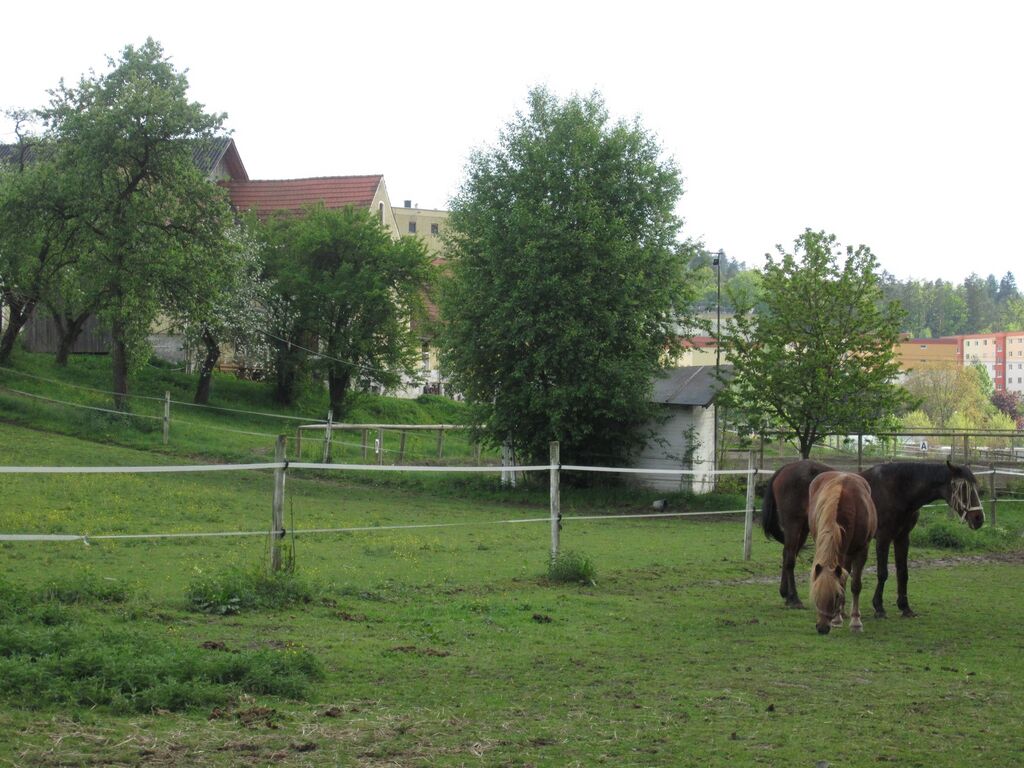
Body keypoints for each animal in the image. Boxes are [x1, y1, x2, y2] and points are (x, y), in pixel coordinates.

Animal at [762, 459, 984, 617]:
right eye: (963, 488)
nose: (979, 518)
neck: (899, 489)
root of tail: (786, 468)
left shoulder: (902, 538)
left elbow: (903, 572)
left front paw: (905, 607)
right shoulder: (884, 537)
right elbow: (883, 573)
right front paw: (879, 607)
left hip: (803, 528)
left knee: (787, 555)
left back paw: (785, 594)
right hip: (794, 525)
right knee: (790, 560)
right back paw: (794, 599)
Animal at [808, 471, 877, 634]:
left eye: (836, 596)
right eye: (816, 595)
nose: (822, 628)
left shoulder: (861, 550)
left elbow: (855, 585)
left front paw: (856, 622)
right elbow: (842, 581)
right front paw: (837, 619)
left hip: (849, 553)